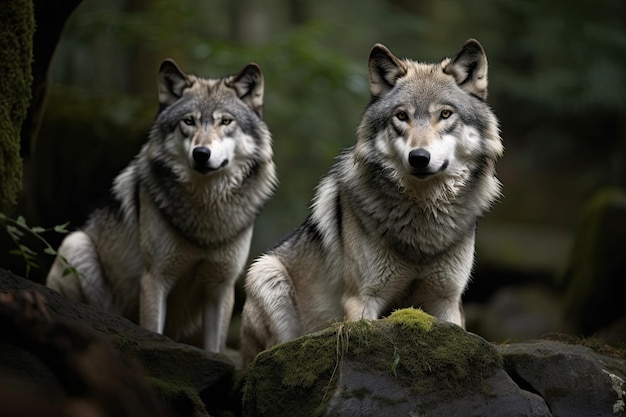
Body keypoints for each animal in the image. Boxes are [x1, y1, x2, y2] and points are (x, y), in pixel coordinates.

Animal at [46, 57, 276, 352]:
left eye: (226, 121)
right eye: (188, 121)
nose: (201, 154)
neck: (206, 212)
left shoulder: (220, 286)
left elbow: (215, 349)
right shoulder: (155, 279)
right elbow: (152, 330)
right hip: (75, 244)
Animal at [239, 38, 502, 364]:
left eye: (445, 114)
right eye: (401, 116)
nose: (419, 158)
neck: (422, 220)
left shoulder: (447, 301)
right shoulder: (363, 299)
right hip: (266, 274)